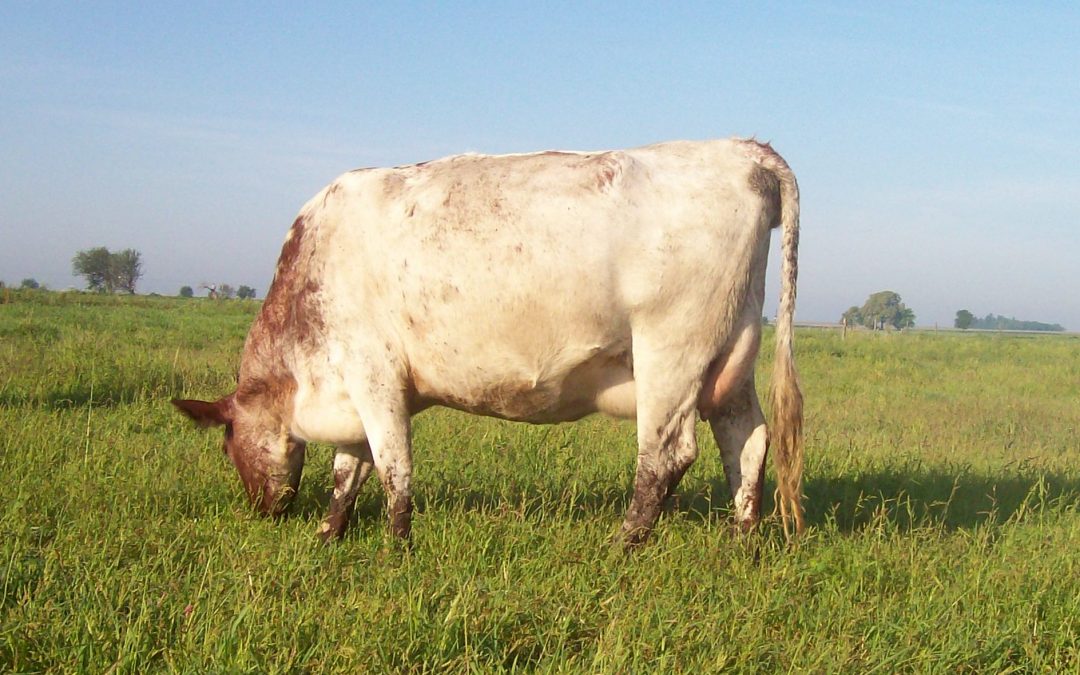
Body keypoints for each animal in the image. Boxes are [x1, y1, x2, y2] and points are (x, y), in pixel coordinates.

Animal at [173, 138, 804, 547]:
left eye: (227, 442)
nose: (263, 511)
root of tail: (740, 148)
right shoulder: (353, 387)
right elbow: (348, 468)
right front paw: (330, 537)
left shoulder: (373, 372)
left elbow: (392, 465)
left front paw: (396, 546)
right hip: (732, 357)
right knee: (746, 440)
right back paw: (742, 537)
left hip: (670, 352)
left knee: (667, 455)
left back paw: (623, 542)